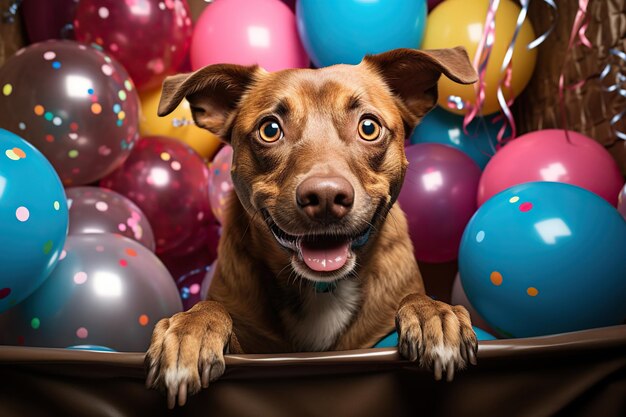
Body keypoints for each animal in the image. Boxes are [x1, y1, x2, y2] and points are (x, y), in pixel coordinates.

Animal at [146, 45, 476, 406]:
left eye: (369, 127)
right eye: (270, 130)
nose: (326, 197)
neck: (321, 288)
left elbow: (415, 297)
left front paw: (433, 313)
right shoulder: (250, 345)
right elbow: (212, 308)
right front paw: (191, 329)